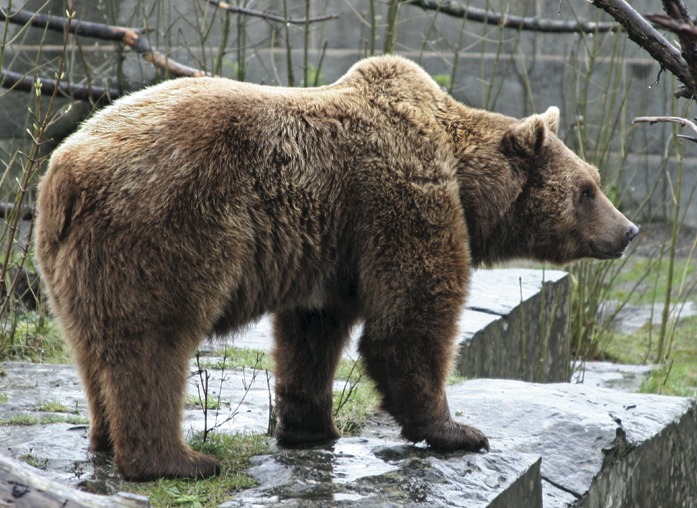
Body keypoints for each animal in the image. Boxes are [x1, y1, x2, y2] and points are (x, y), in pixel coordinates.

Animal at [34, 54, 636, 480]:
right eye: (587, 190)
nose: (627, 231)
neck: (465, 179)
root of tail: (67, 169)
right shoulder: (403, 199)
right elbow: (408, 322)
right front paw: (458, 430)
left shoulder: (331, 242)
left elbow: (312, 333)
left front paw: (310, 427)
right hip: (167, 226)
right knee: (154, 343)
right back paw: (178, 461)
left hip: (72, 263)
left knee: (92, 348)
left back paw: (104, 437)